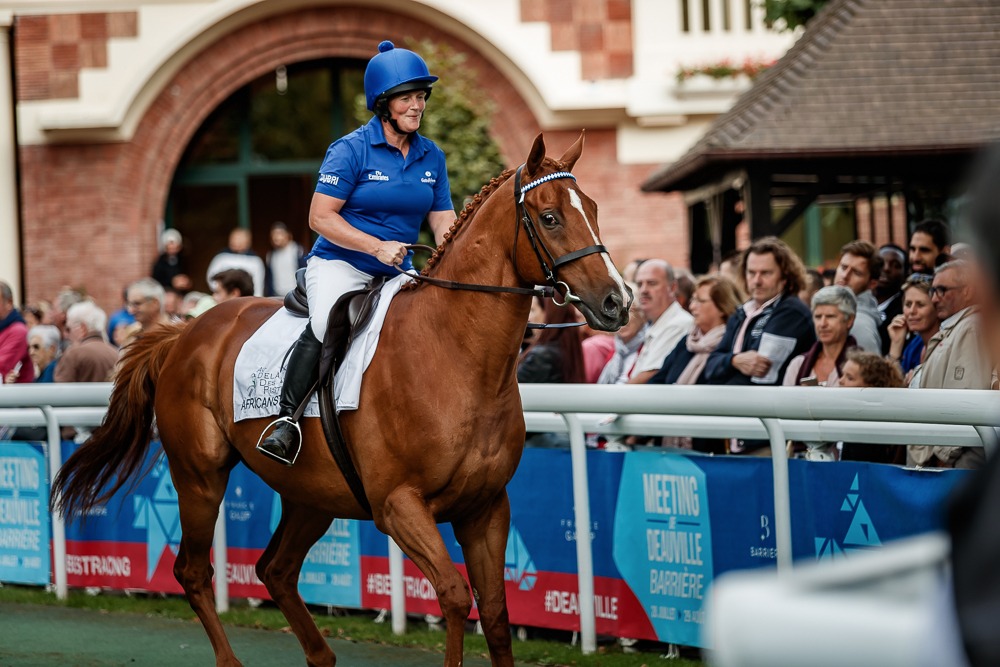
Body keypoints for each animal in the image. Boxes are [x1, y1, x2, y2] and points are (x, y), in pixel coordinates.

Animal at [50, 132, 628, 667]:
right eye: (550, 218)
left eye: (595, 210)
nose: (616, 302)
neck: (456, 356)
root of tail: (183, 332)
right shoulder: (399, 505)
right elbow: (454, 596)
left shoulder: (486, 507)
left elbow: (496, 613)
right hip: (199, 477)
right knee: (194, 571)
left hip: (313, 494)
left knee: (275, 569)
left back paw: (321, 655)